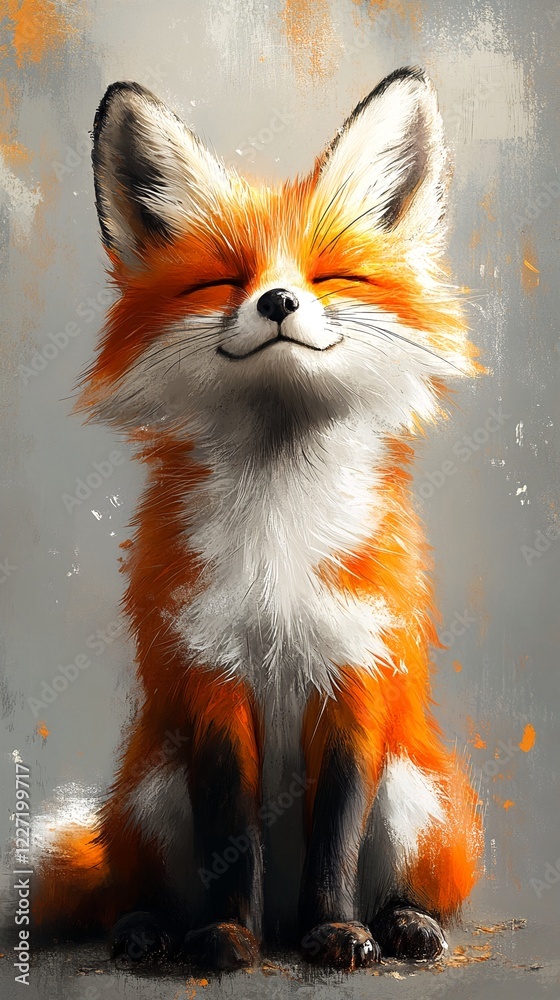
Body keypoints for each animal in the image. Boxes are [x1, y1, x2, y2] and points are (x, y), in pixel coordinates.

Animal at [33, 67, 483, 972]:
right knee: (131, 892)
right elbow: (230, 833)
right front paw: (226, 939)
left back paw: (402, 925)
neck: (278, 540)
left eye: (334, 276)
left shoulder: (356, 672)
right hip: (149, 793)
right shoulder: (210, 674)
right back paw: (153, 931)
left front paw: (336, 931)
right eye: (221, 282)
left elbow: (336, 832)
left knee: (404, 878)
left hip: (416, 792)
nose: (277, 301)